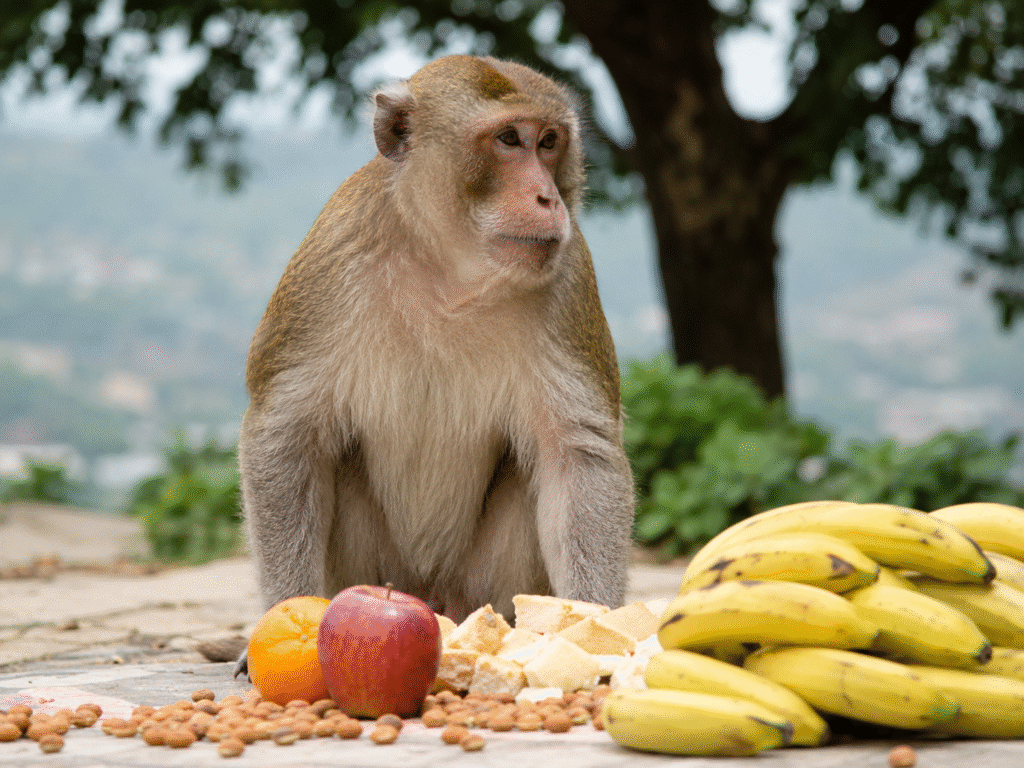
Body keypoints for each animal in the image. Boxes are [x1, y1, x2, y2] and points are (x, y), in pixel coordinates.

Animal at [235, 55, 634, 677]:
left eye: (548, 142)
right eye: (508, 139)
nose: (549, 199)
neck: (453, 270)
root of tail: (430, 597)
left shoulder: (569, 277)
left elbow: (576, 456)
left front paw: (593, 629)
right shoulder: (331, 259)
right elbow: (286, 436)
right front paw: (283, 619)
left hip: (479, 587)